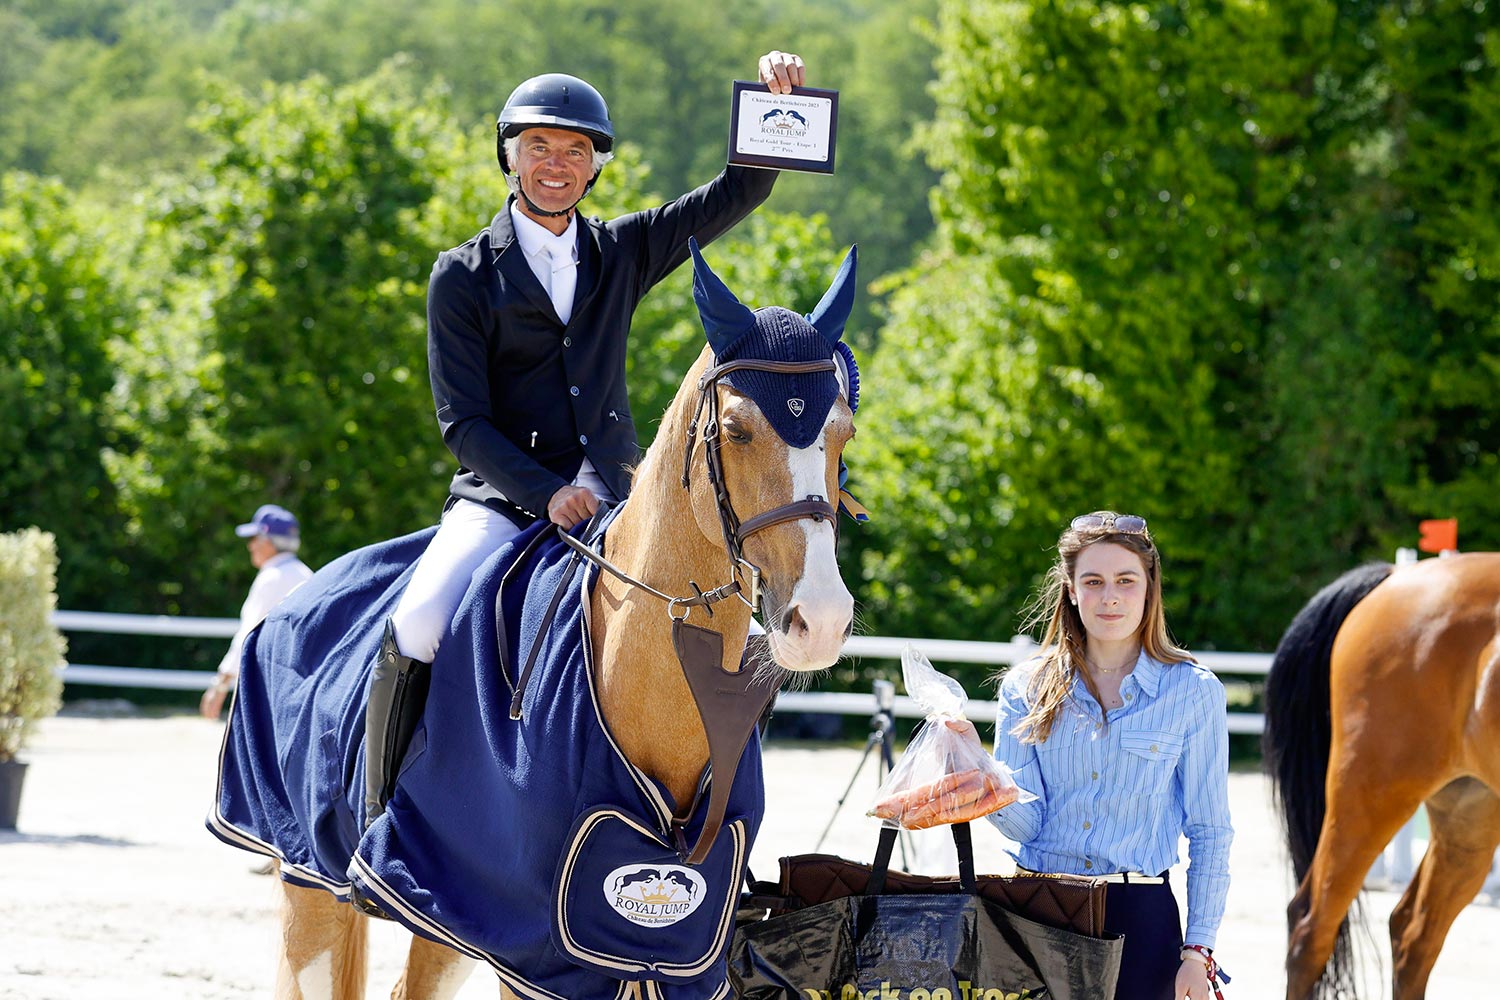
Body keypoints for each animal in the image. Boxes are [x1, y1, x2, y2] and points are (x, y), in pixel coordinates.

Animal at [216, 242, 864, 1000]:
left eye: (843, 432)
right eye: (736, 430)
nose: (821, 619)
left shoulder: (674, 960)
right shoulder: (537, 958)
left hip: (450, 913)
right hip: (313, 880)